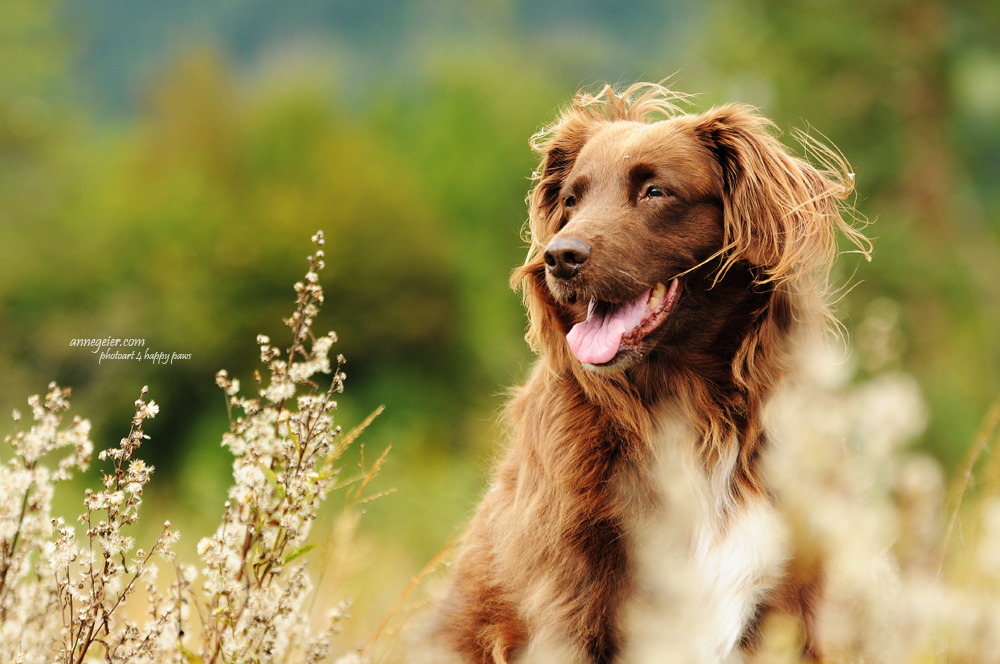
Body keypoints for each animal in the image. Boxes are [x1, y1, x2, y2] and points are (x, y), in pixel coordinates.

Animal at [434, 84, 872, 664]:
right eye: (571, 200)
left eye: (655, 191)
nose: (559, 257)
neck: (689, 411)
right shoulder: (570, 598)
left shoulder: (791, 598)